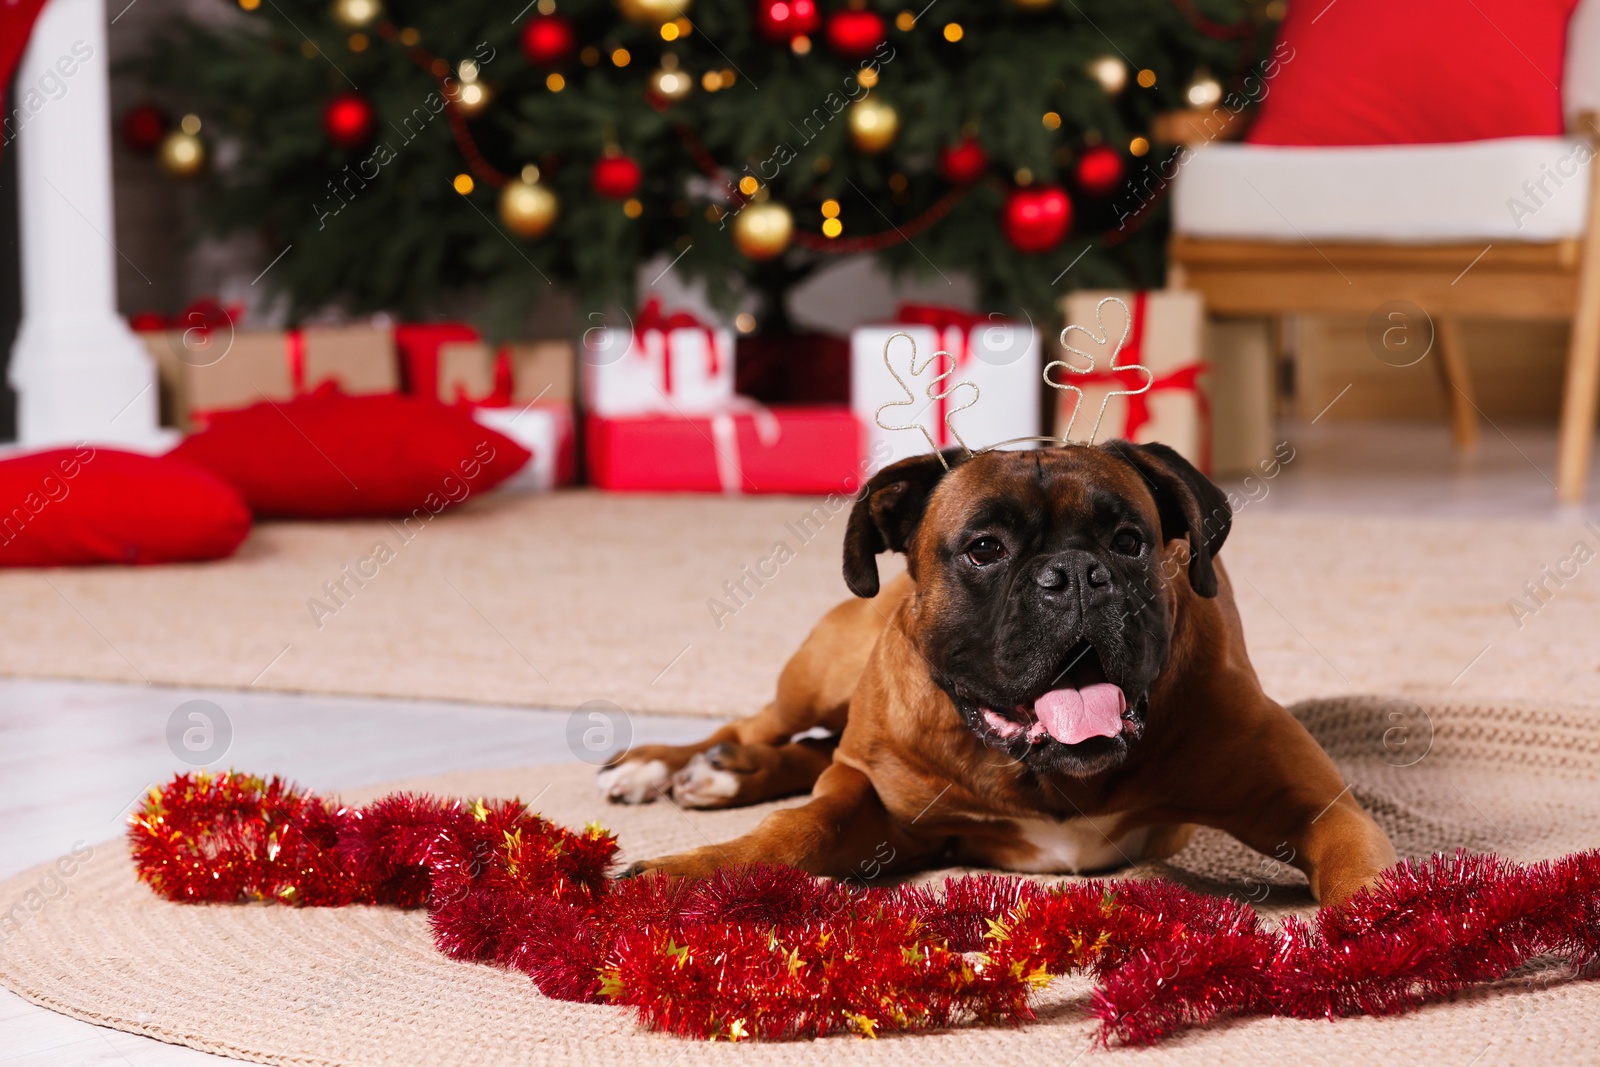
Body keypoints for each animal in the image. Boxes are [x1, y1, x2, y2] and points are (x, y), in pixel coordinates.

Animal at [595, 438, 1395, 908]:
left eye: (1129, 541)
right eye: (984, 548)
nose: (1075, 575)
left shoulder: (1316, 807)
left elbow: (1354, 859)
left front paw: (1383, 929)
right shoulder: (879, 808)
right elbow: (796, 827)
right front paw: (691, 872)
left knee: (804, 748)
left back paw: (726, 772)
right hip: (819, 673)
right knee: (761, 725)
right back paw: (668, 764)